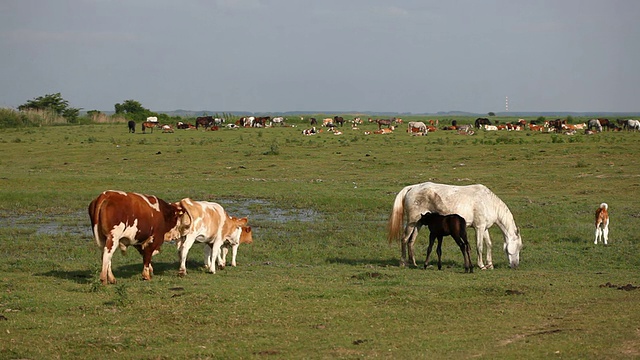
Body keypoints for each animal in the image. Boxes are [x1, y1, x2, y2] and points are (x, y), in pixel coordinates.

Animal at [388, 183, 524, 270]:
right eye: (518, 247)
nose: (515, 265)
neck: (488, 202)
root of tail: (412, 188)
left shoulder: (484, 228)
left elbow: (489, 245)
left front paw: (490, 265)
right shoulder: (479, 228)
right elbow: (479, 246)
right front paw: (481, 265)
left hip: (418, 223)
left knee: (411, 241)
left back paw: (414, 264)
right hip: (412, 221)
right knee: (404, 239)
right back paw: (403, 263)